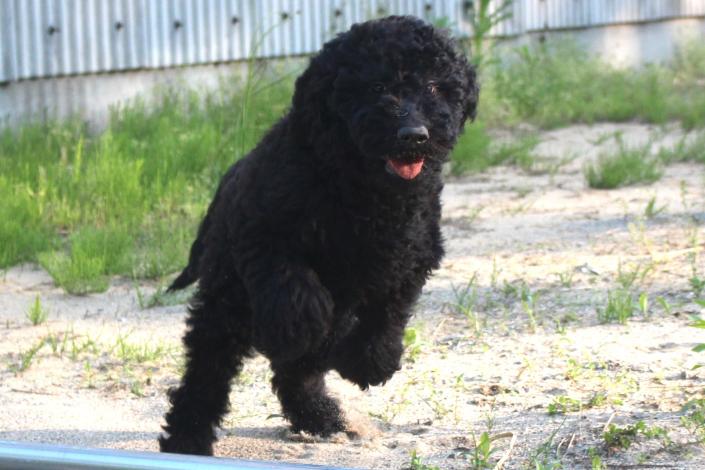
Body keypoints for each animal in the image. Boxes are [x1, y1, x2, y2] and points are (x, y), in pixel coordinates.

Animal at [159, 15, 478, 455]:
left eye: (434, 86)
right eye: (375, 87)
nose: (414, 134)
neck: (365, 192)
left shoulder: (411, 258)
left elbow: (388, 315)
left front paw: (369, 362)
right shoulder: (263, 236)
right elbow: (297, 290)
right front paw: (299, 328)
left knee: (295, 372)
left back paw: (321, 416)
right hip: (227, 298)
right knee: (208, 370)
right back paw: (187, 438)